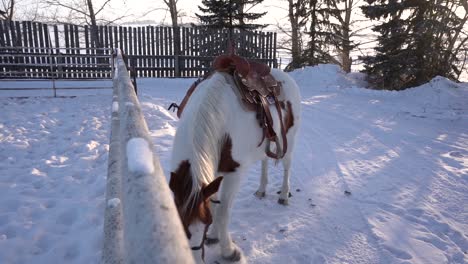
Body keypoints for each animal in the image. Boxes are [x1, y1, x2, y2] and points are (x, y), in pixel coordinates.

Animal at [170, 67, 302, 262]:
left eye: (205, 224)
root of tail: (284, 75)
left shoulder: (234, 173)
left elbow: (223, 211)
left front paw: (228, 250)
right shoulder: (215, 171)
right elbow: (214, 204)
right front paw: (214, 236)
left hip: (290, 140)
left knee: (287, 166)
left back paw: (284, 195)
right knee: (264, 162)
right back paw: (261, 190)